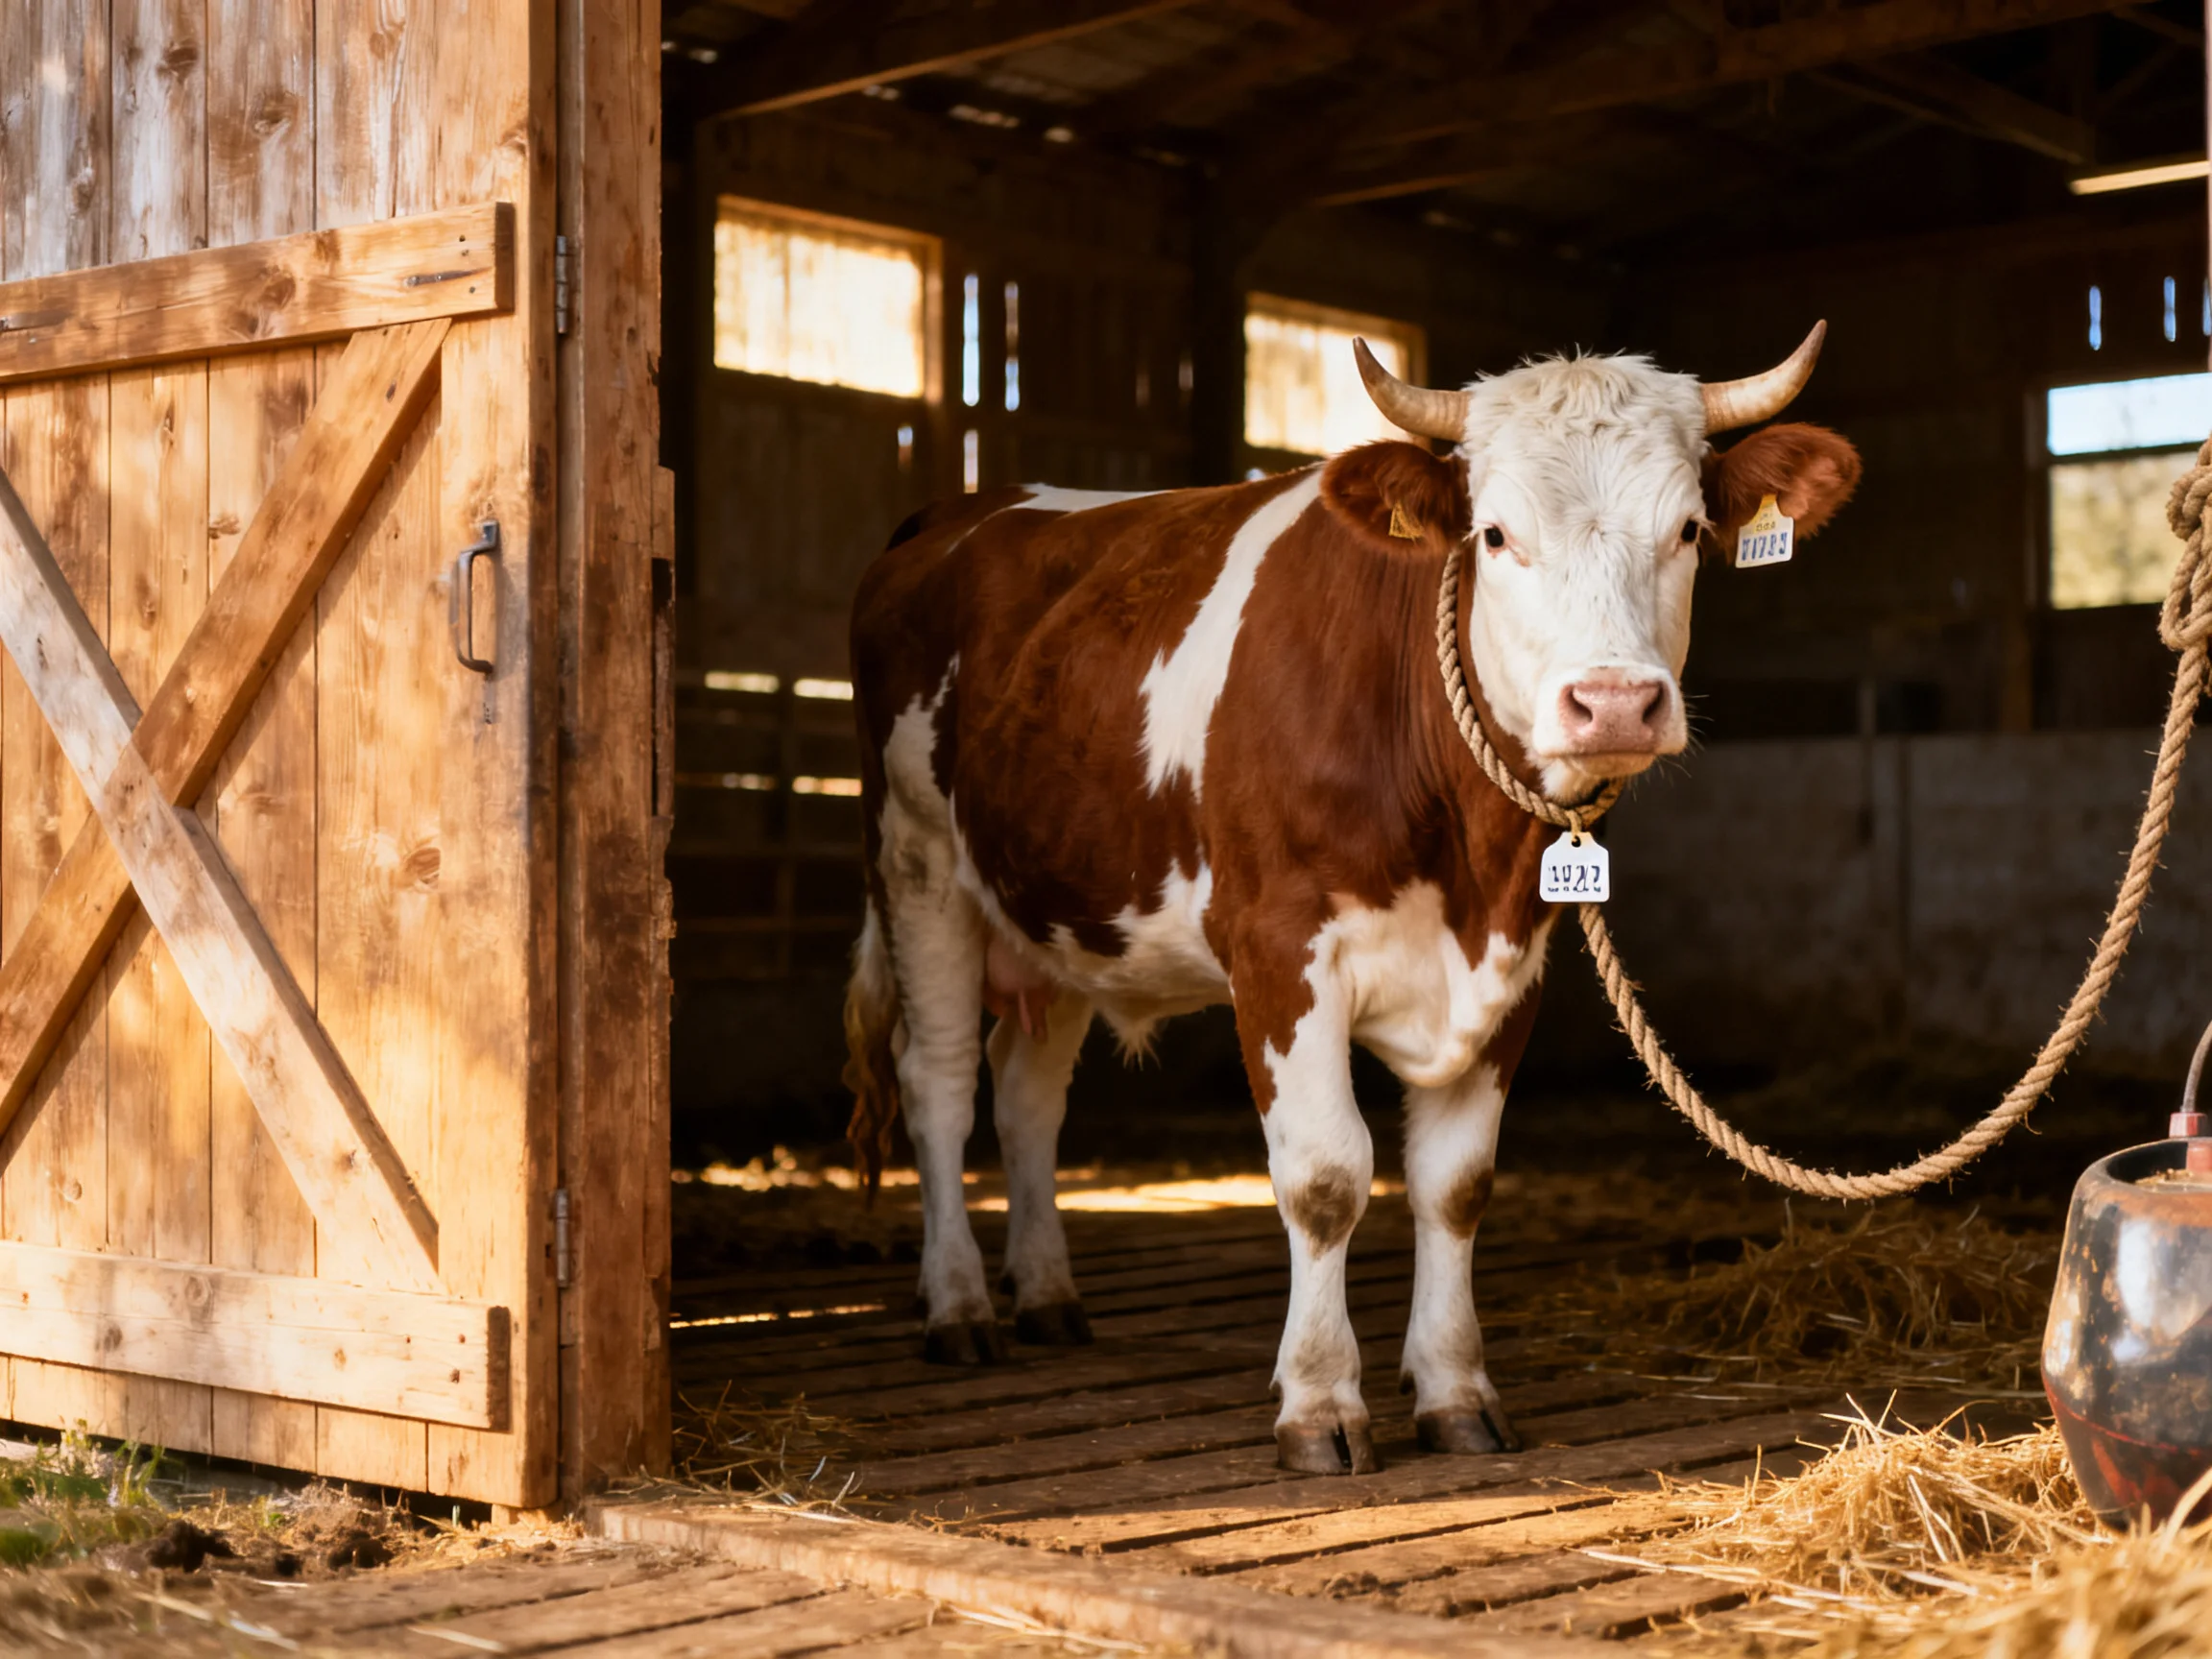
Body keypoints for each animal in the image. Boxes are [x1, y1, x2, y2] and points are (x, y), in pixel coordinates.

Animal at [842, 327, 1861, 1474]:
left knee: (1026, 1095)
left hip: (1054, 909)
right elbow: (1327, 1177)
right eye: (1496, 534)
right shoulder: (1280, 953)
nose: (1612, 704)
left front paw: (1457, 1391)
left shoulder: (1515, 963)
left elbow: (1454, 1185)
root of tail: (961, 510)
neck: (1466, 864)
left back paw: (1049, 1296)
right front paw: (1321, 1403)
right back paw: (959, 1306)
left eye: (1687, 529)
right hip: (919, 865)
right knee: (938, 1084)